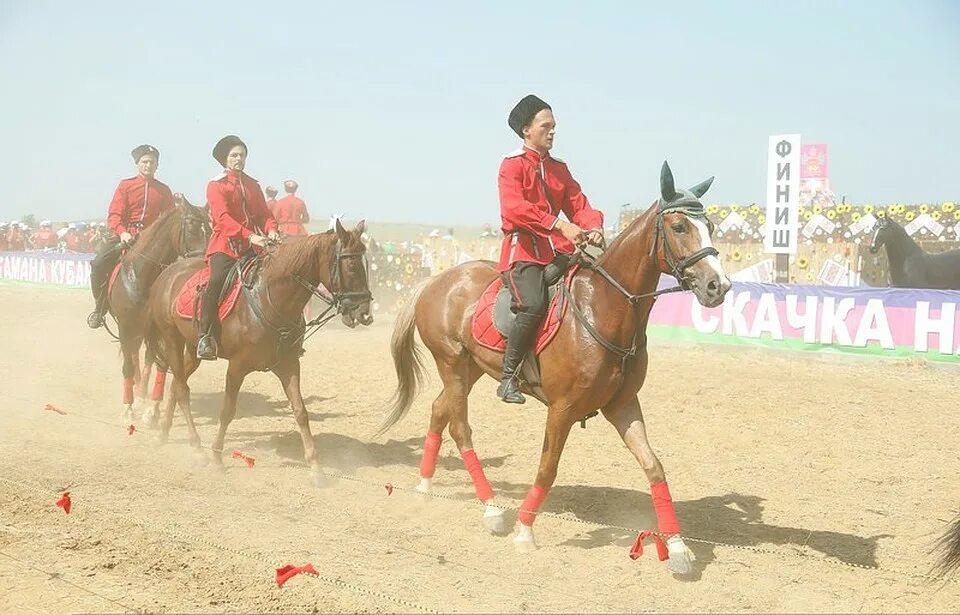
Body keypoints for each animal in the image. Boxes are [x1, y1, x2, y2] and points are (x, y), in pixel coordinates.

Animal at [103, 200, 210, 426]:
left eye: (211, 228)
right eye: (191, 228)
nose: (204, 261)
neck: (143, 277)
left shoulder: (162, 331)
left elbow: (161, 365)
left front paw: (152, 409)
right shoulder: (126, 328)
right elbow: (128, 365)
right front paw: (128, 408)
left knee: (146, 358)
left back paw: (141, 391)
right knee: (134, 356)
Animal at [144, 219, 374, 484]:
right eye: (351, 265)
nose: (365, 313)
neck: (272, 298)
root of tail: (166, 273)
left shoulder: (288, 365)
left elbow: (300, 412)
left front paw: (316, 468)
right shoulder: (237, 367)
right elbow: (227, 411)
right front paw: (217, 457)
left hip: (192, 350)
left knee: (176, 385)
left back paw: (163, 435)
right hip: (172, 339)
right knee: (182, 390)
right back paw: (197, 448)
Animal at [376, 161, 728, 576]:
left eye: (711, 225)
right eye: (678, 227)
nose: (718, 286)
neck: (605, 309)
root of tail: (437, 279)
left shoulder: (624, 406)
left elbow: (654, 467)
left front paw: (677, 548)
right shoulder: (561, 410)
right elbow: (547, 468)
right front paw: (524, 531)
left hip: (469, 369)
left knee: (438, 411)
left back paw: (425, 488)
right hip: (451, 363)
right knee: (460, 429)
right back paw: (492, 510)